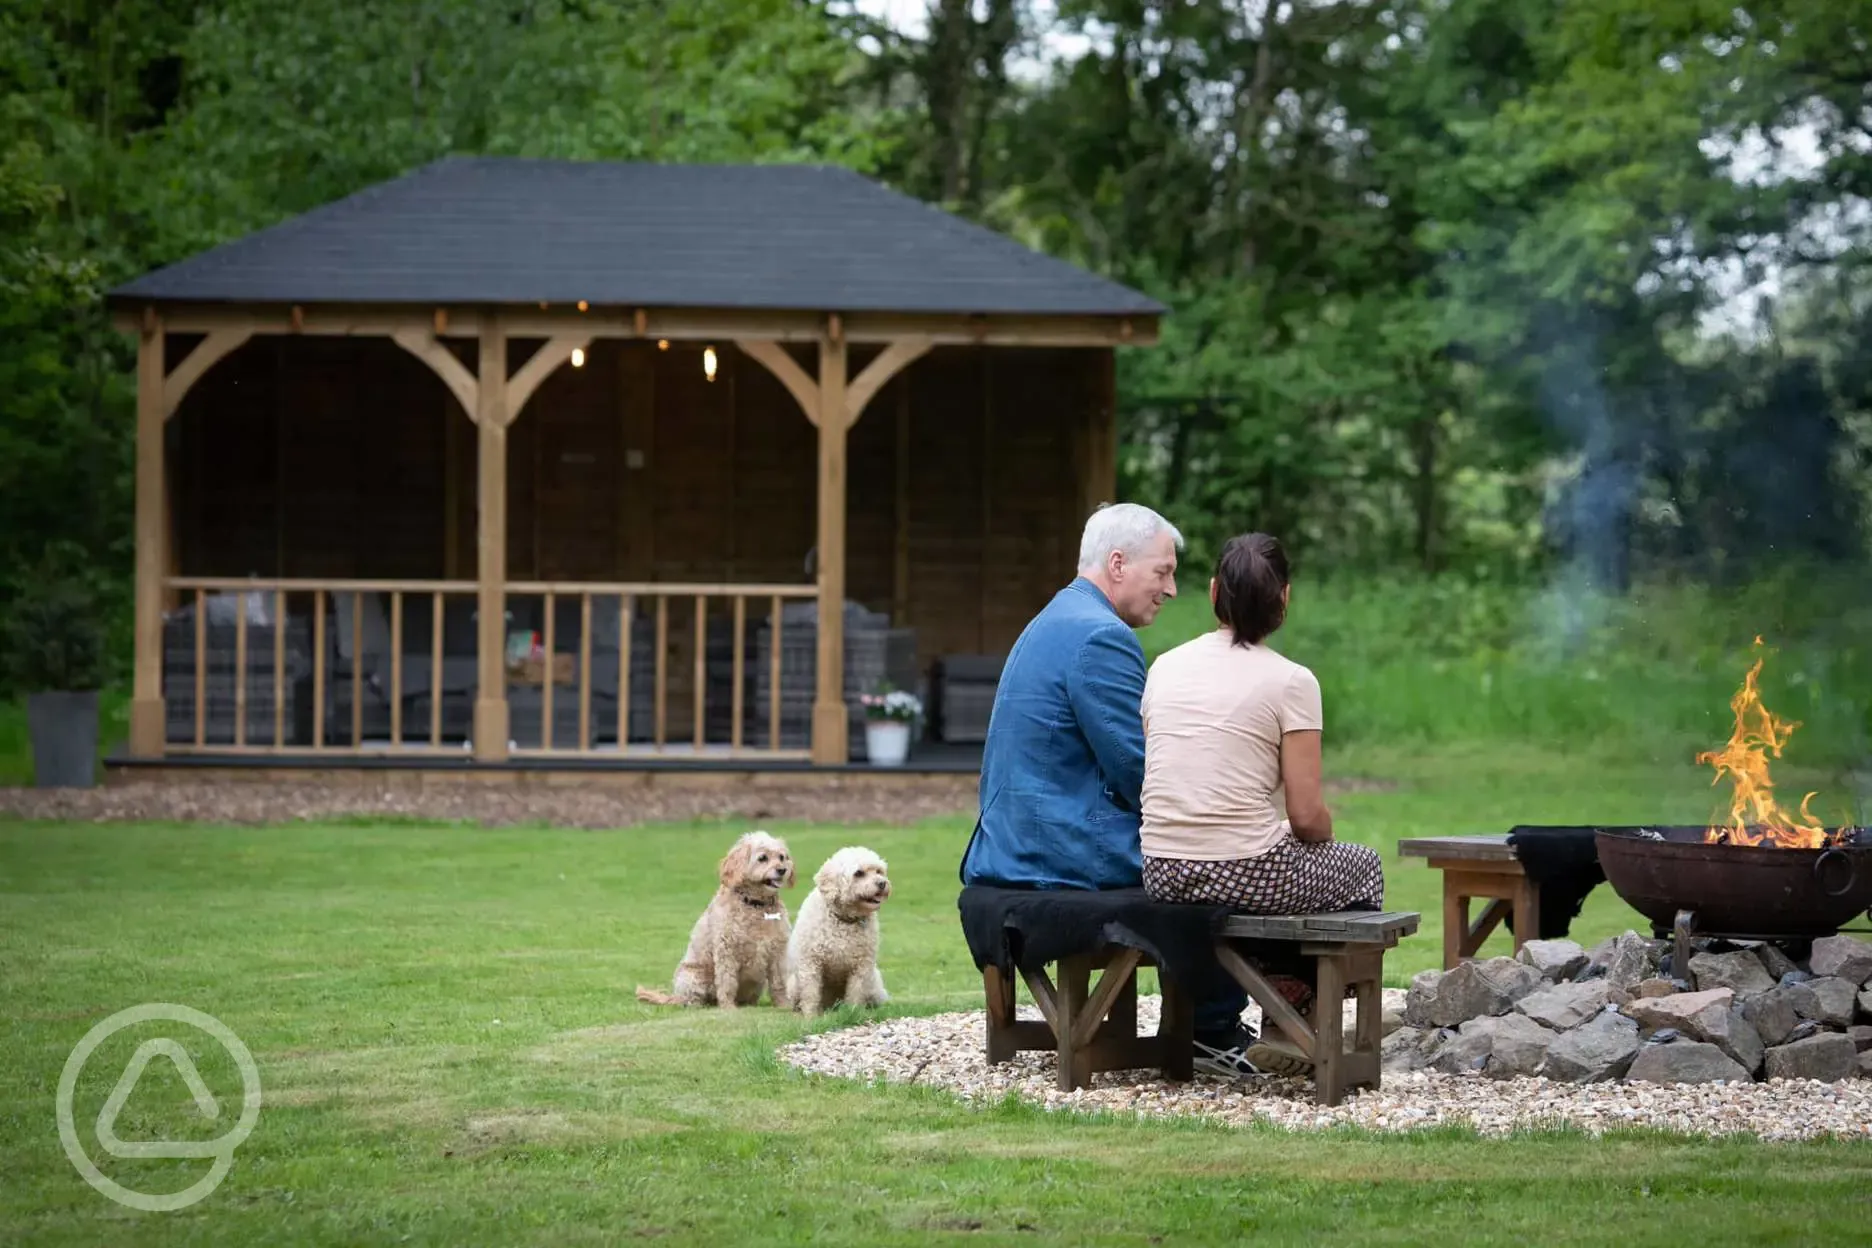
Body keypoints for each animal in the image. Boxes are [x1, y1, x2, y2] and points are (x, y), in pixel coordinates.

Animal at [778, 849, 887, 1017]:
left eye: (879, 871)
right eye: (859, 873)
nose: (882, 883)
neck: (843, 919)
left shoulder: (861, 967)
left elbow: (856, 993)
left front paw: (854, 1013)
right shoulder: (811, 963)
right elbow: (811, 993)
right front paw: (811, 1016)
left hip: (874, 984)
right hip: (794, 985)